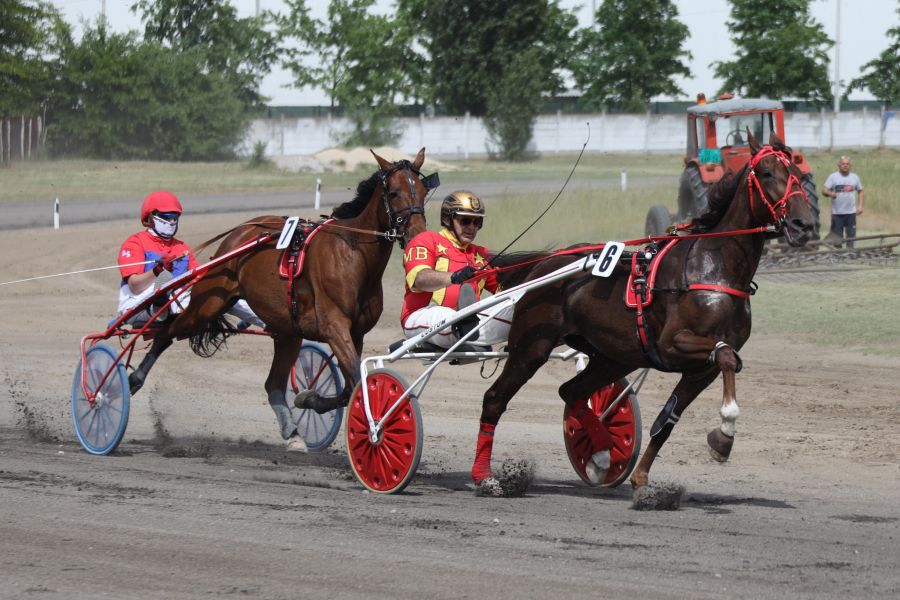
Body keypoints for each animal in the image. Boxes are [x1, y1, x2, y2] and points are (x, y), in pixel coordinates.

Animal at [127, 150, 431, 451]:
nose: (417, 235)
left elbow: (349, 387)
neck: (352, 252)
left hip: (287, 331)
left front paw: (310, 399)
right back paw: (134, 378)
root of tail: (240, 231)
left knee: (272, 383)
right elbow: (358, 381)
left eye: (422, 190)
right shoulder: (334, 327)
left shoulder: (355, 333)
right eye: (393, 193)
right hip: (209, 302)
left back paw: (292, 432)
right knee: (167, 330)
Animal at [474, 132, 815, 491]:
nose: (803, 224)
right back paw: (484, 476)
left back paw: (601, 452)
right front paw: (724, 434)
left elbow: (670, 417)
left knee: (572, 391)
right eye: (766, 173)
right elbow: (724, 356)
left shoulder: (700, 369)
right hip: (531, 347)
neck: (715, 270)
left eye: (797, 171)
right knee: (494, 399)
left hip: (613, 356)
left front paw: (642, 476)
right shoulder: (671, 344)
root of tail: (542, 265)